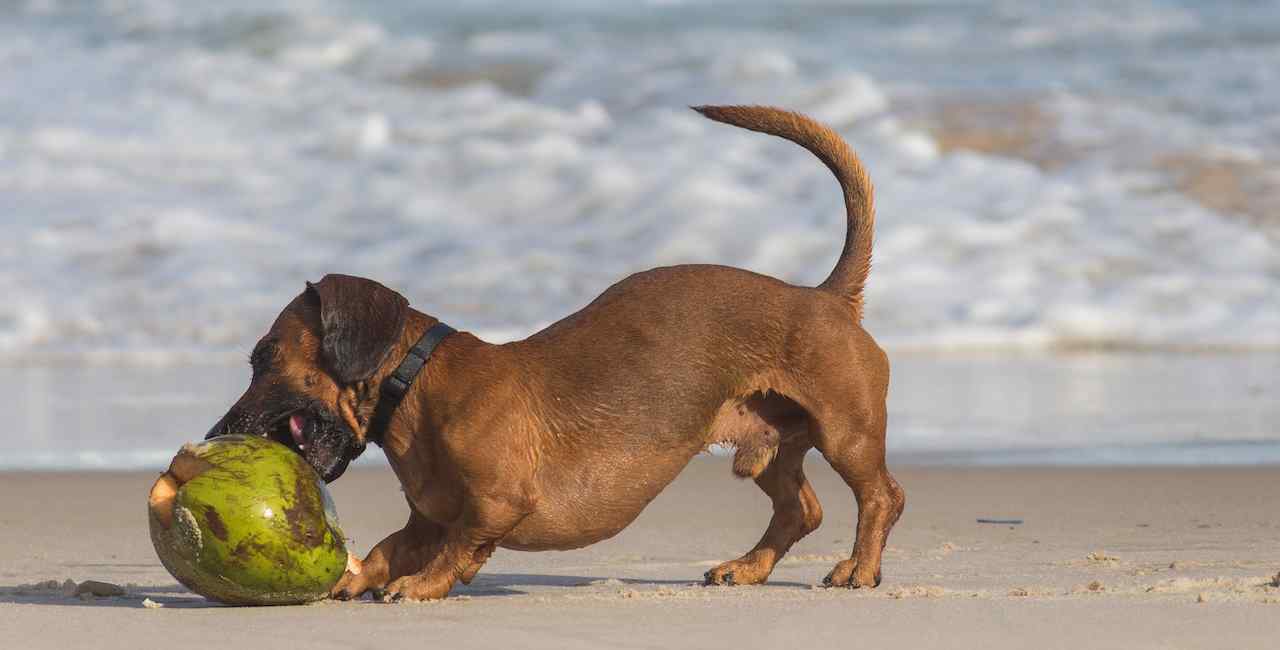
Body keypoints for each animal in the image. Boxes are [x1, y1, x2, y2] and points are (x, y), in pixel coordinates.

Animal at [207, 105, 901, 598]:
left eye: (265, 358)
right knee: (801, 509)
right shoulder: (426, 517)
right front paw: (360, 577)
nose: (215, 435)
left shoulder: (496, 505)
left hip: (846, 433)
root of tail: (825, 296)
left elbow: (460, 546)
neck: (420, 383)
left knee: (881, 497)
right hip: (771, 450)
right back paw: (749, 567)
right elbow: (390, 547)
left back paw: (857, 569)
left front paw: (422, 585)